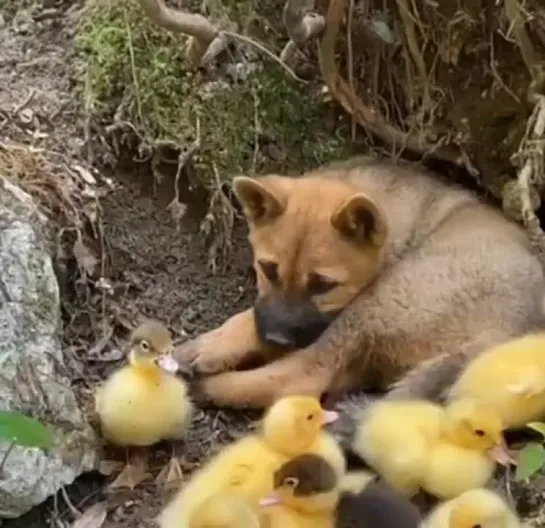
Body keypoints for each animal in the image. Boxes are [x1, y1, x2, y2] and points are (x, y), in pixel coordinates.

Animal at [174, 156, 544, 408]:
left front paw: (215, 345)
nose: (276, 337)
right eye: (268, 270)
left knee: (302, 376)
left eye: (323, 284)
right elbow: (254, 314)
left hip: (376, 306)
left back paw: (206, 389)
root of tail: (508, 333)